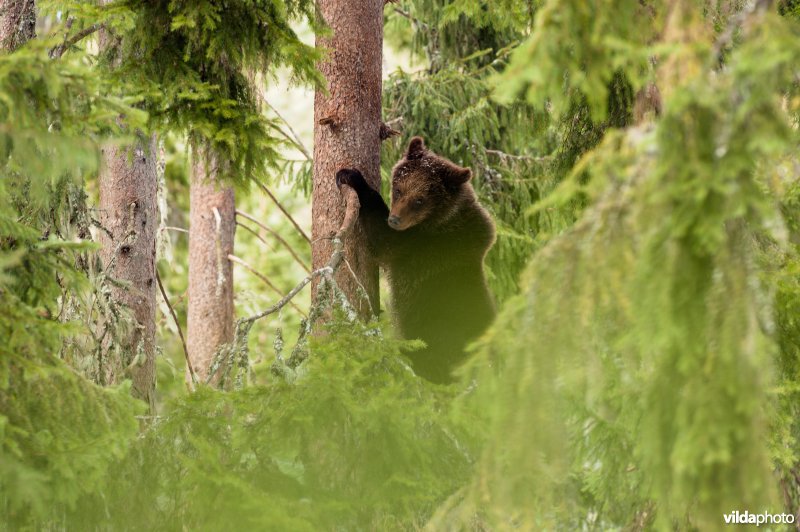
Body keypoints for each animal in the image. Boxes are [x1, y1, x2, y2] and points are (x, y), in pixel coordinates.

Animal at [332, 135, 494, 380]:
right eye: (398, 189)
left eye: (419, 200)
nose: (395, 219)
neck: (438, 222)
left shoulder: (419, 247)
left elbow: (383, 241)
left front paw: (353, 178)